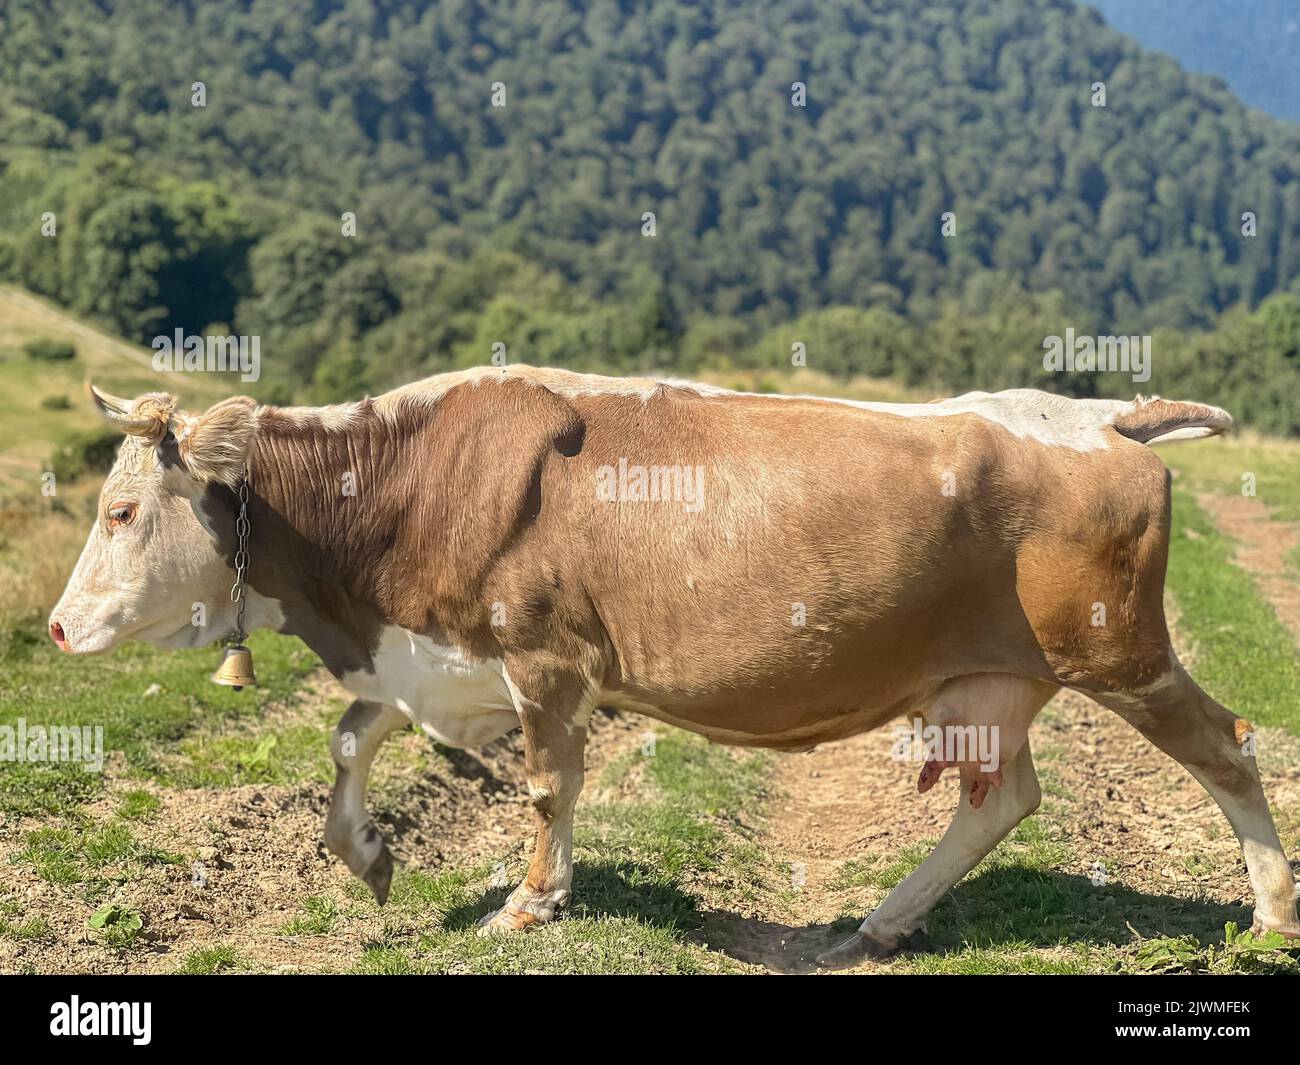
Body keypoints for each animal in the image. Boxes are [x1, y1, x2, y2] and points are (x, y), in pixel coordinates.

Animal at [49, 366, 1300, 969]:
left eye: (120, 510)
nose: (56, 632)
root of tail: (1097, 414)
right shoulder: (435, 655)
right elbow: (351, 736)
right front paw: (366, 855)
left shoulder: (544, 655)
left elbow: (548, 786)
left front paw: (528, 904)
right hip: (997, 681)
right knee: (1004, 799)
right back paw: (873, 928)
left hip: (1119, 651)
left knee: (1228, 749)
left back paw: (1271, 915)